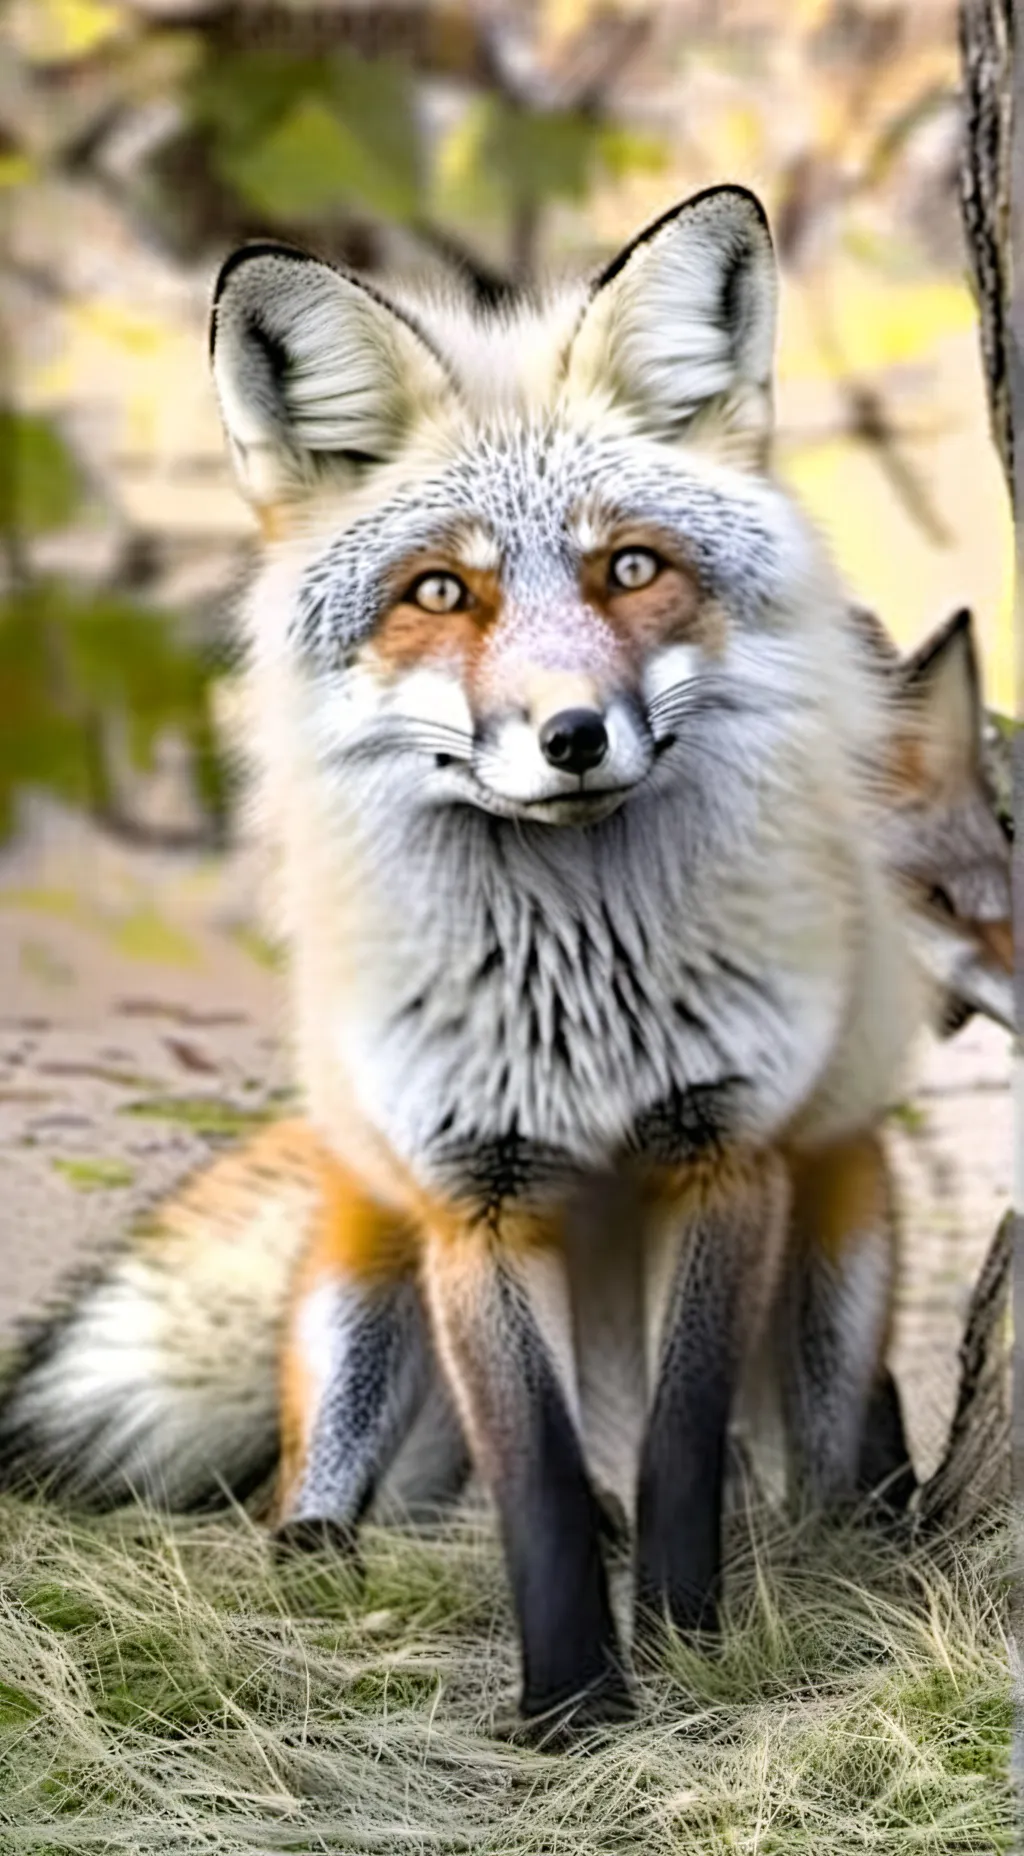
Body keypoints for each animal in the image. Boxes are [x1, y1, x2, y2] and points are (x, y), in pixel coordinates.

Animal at [0, 187, 1004, 1728]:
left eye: (631, 567)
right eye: (439, 592)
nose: (573, 735)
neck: (580, 1008)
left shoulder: (720, 1157)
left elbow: (678, 1450)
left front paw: (684, 1644)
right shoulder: (476, 1191)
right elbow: (533, 1476)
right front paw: (572, 1711)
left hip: (834, 1240)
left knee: (823, 1434)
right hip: (364, 1276)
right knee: (327, 1485)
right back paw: (330, 1562)